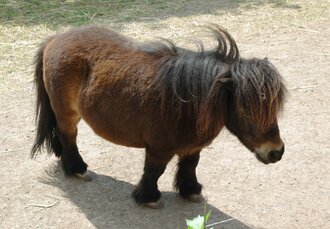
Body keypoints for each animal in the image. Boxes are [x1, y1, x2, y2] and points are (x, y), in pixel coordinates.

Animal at [31, 24, 286, 208]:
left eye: (274, 107)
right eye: (247, 109)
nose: (277, 152)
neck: (186, 100)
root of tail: (55, 38)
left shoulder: (193, 146)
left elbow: (190, 165)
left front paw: (190, 190)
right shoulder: (158, 148)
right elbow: (154, 170)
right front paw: (149, 197)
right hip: (67, 112)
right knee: (68, 136)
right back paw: (77, 168)